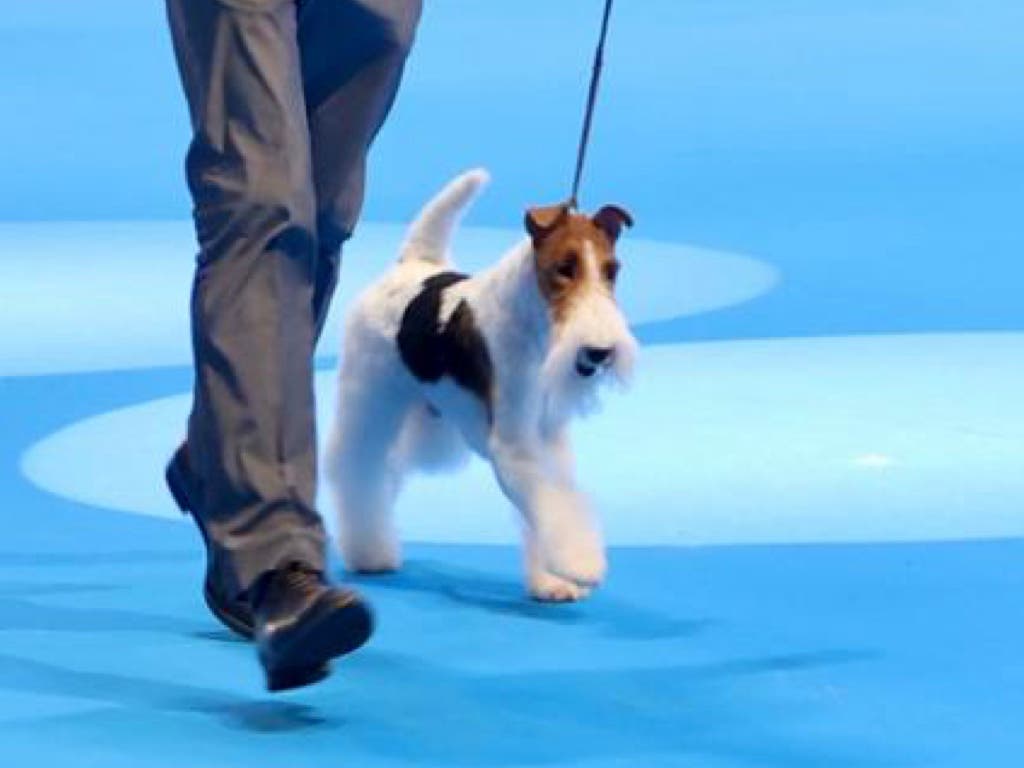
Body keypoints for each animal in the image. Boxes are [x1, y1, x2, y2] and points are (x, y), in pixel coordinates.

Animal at [323, 167, 634, 602]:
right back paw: (370, 552)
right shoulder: (514, 443)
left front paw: (552, 582)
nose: (600, 351)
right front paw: (581, 565)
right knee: (357, 466)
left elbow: (553, 502)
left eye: (611, 270)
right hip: (372, 397)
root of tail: (413, 266)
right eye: (565, 268)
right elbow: (551, 507)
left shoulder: (547, 437)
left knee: (390, 466)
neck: (533, 326)